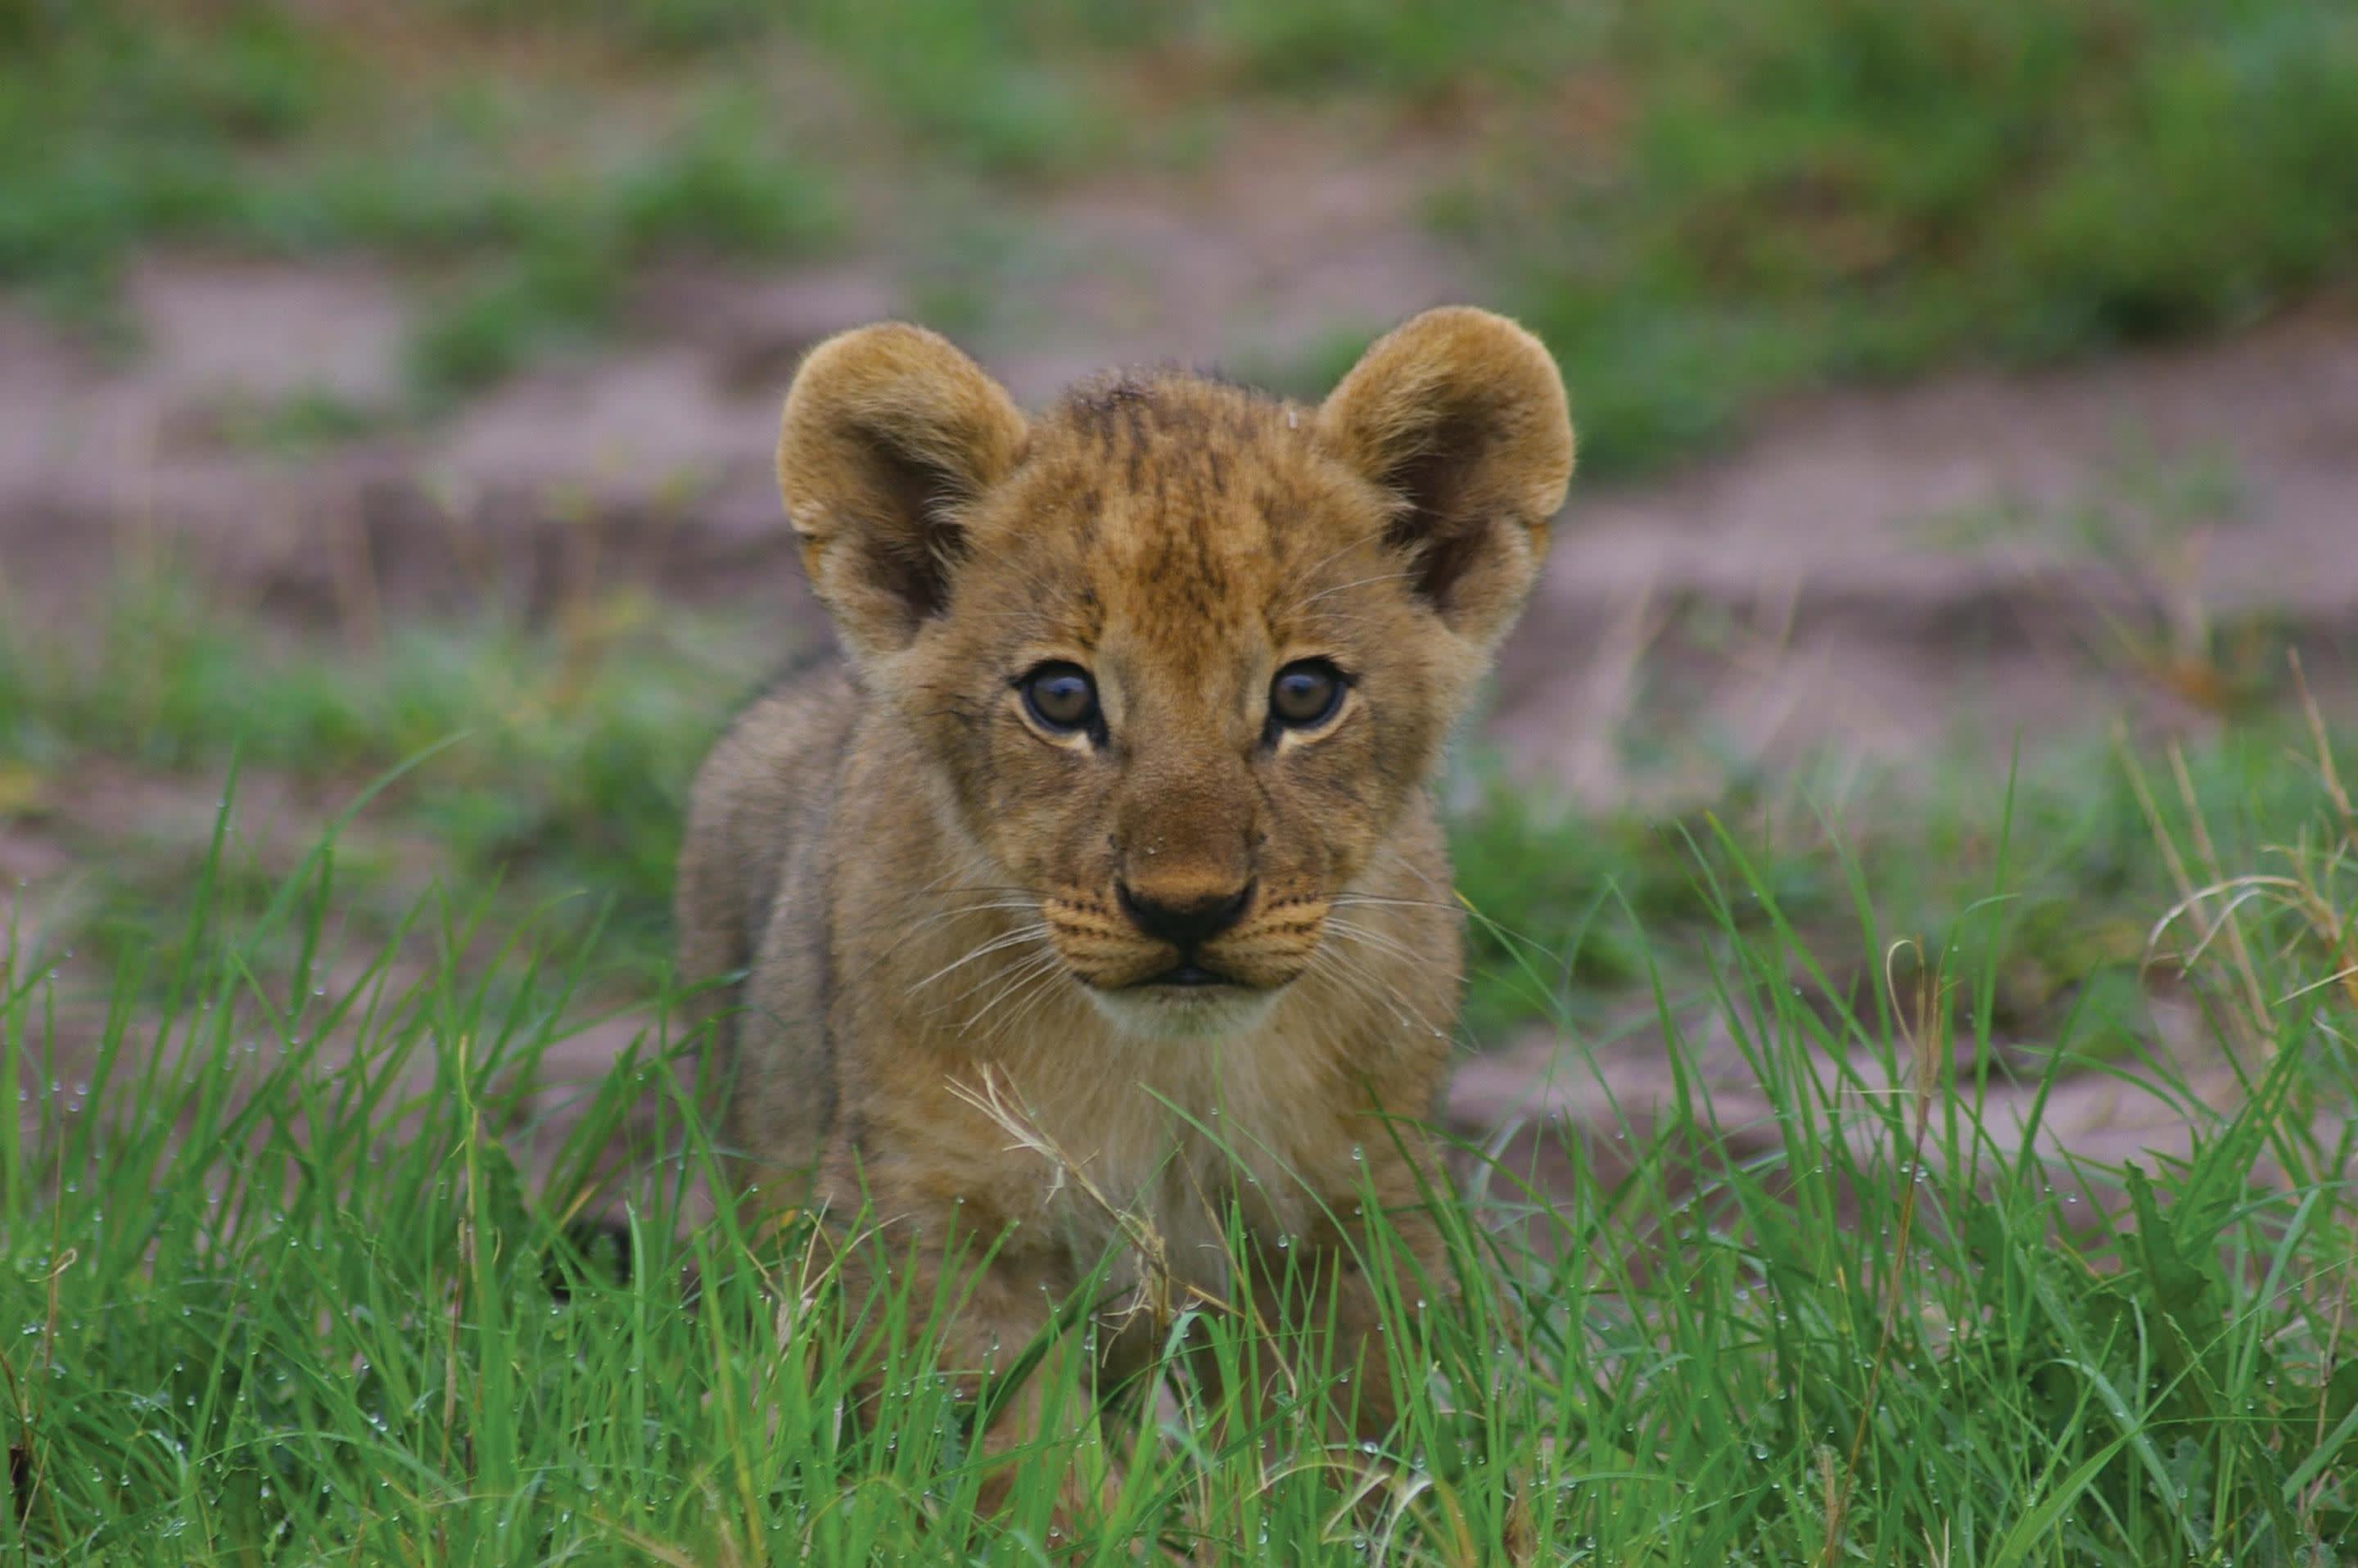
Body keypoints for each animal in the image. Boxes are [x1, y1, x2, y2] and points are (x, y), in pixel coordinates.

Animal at [675, 306, 1574, 1526]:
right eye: (1061, 697)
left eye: (1305, 694)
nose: (1185, 908)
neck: (1168, 1073)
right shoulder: (936, 1217)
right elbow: (1026, 1459)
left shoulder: (1359, 1207)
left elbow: (1363, 1434)